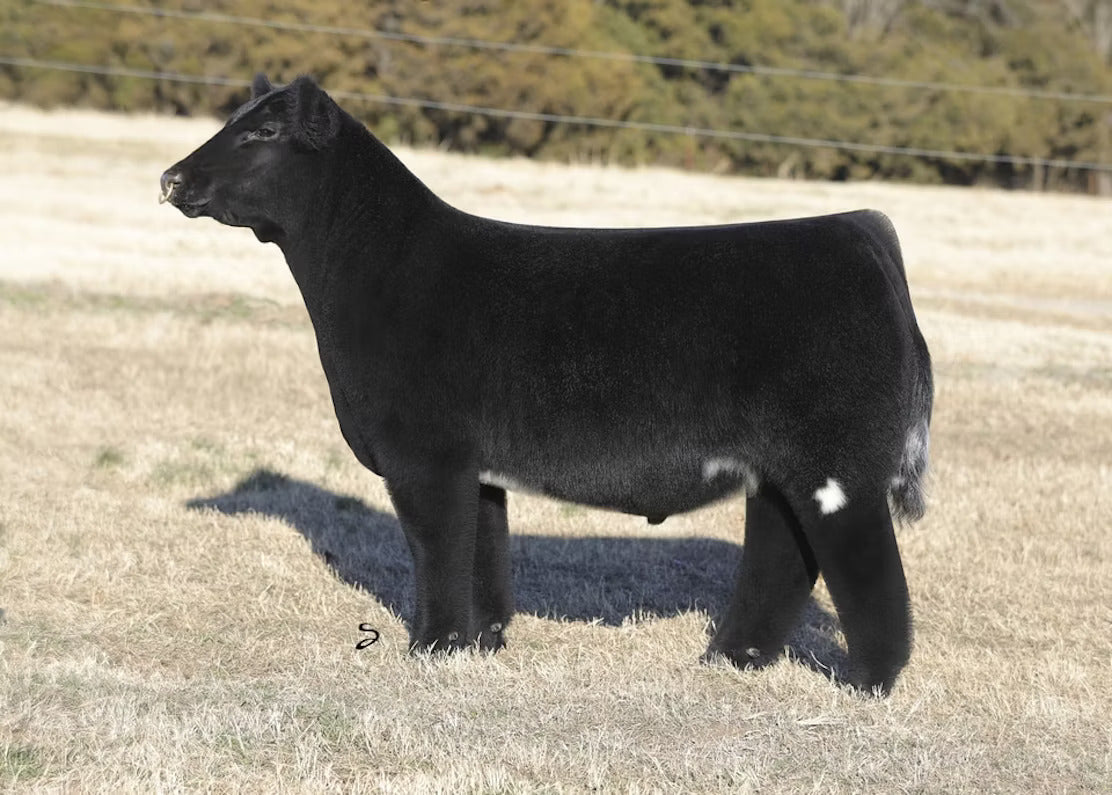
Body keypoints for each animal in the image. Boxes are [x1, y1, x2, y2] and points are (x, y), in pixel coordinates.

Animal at [161, 74, 933, 695]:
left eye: (261, 132)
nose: (169, 178)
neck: (378, 271)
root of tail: (861, 229)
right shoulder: (475, 464)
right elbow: (482, 554)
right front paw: (480, 642)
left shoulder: (425, 456)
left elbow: (437, 550)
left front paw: (431, 646)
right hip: (780, 469)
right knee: (784, 554)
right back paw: (729, 658)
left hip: (836, 466)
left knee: (869, 572)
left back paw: (865, 681)